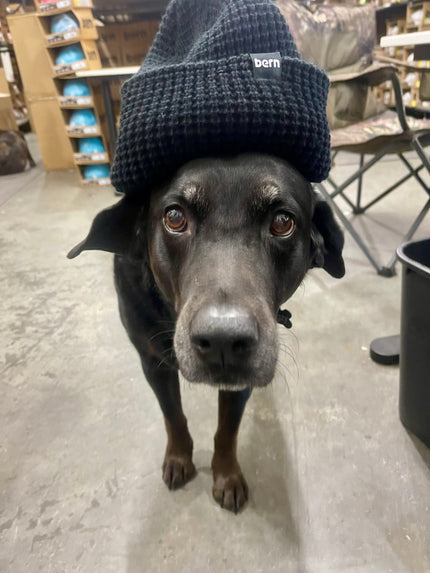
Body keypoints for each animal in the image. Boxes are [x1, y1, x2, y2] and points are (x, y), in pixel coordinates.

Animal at [69, 154, 344, 512]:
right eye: (174, 217)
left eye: (283, 222)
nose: (222, 341)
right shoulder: (152, 362)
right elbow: (173, 415)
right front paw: (179, 458)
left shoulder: (239, 382)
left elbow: (227, 429)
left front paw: (226, 475)